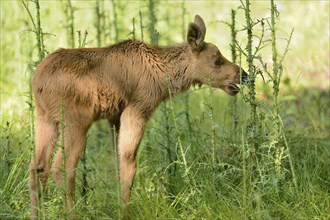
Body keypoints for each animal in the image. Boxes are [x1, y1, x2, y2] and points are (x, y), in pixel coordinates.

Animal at [29, 15, 248, 218]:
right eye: (217, 61)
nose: (244, 75)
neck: (163, 77)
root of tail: (37, 81)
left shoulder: (114, 117)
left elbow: (118, 165)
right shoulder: (137, 109)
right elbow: (129, 165)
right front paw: (125, 213)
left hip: (45, 119)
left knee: (37, 168)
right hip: (76, 122)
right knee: (61, 168)